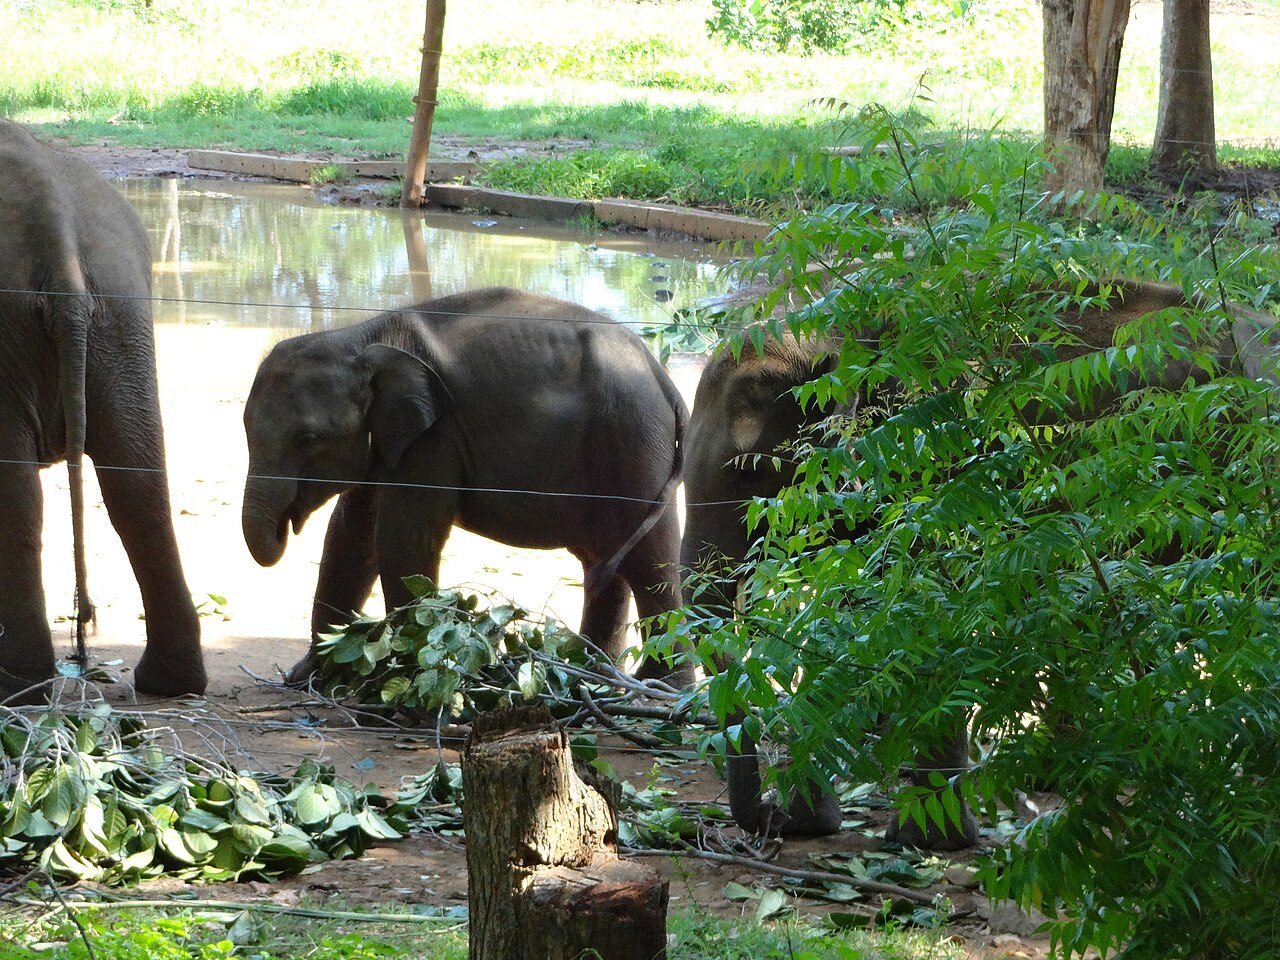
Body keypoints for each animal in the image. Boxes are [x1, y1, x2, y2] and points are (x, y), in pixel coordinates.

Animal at [0, 121, 205, 702]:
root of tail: (56, 230)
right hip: (122, 306)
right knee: (137, 479)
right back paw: (171, 684)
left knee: (16, 494)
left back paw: (18, 688)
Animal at [240, 286, 689, 684]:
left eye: (308, 439)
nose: (287, 524)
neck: (363, 336)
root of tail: (663, 378)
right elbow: (350, 535)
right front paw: (310, 676)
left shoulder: (434, 436)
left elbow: (405, 539)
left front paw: (399, 679)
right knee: (608, 564)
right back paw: (594, 676)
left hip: (635, 444)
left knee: (651, 563)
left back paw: (659, 685)